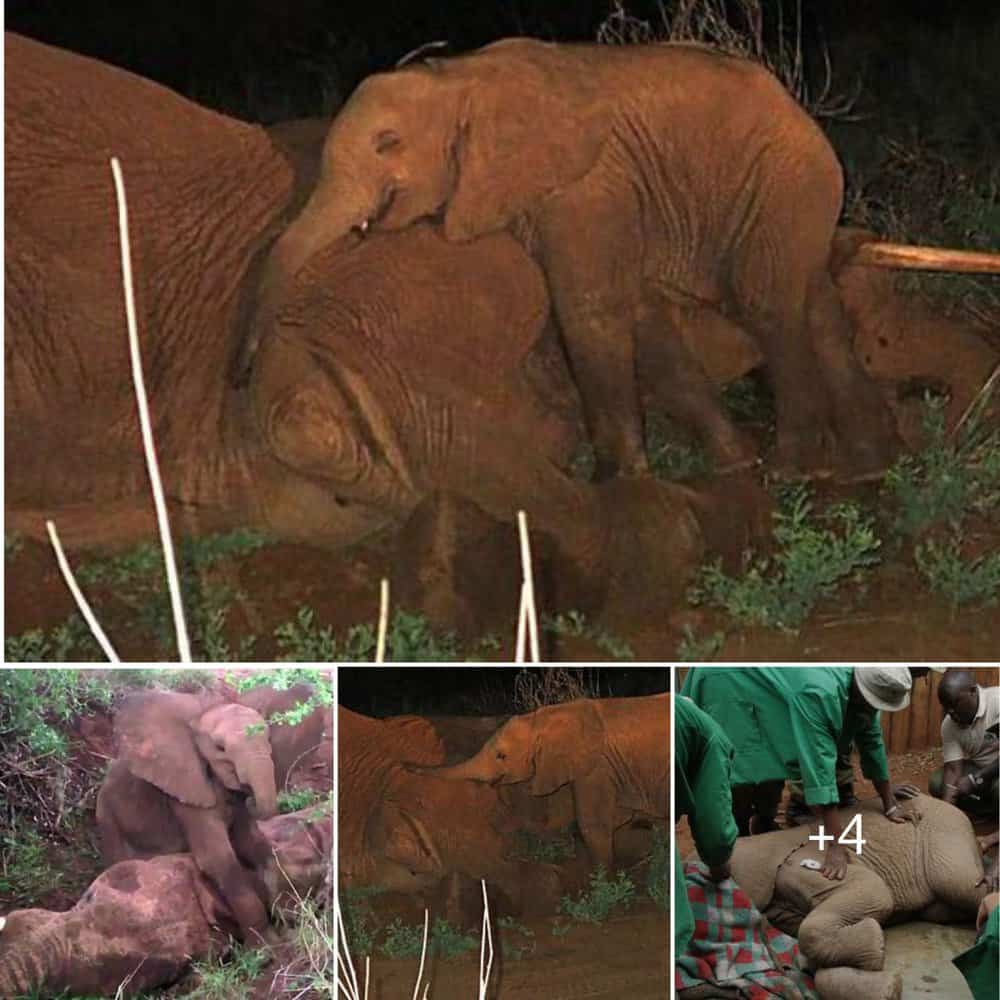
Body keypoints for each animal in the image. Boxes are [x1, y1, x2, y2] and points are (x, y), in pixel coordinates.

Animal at [95, 691, 279, 942]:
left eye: (268, 740)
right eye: (220, 748)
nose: (249, 792)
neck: (200, 716)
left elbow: (252, 842)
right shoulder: (186, 793)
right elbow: (218, 859)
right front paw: (265, 944)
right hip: (108, 820)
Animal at [249, 37, 903, 484]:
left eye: (388, 143)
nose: (243, 371)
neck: (460, 77)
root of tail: (803, 114)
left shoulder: (588, 187)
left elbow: (589, 310)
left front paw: (617, 485)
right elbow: (639, 316)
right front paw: (728, 465)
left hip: (785, 180)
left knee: (768, 303)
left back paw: (796, 470)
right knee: (814, 301)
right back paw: (869, 464)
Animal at [425, 693, 669, 870]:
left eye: (501, 756)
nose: (415, 768)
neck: (541, 719)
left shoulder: (595, 767)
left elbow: (593, 824)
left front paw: (604, 880)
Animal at [724, 795, 990, 1000]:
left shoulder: (803, 865)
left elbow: (875, 892)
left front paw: (877, 944)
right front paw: (887, 988)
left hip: (943, 829)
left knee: (961, 883)